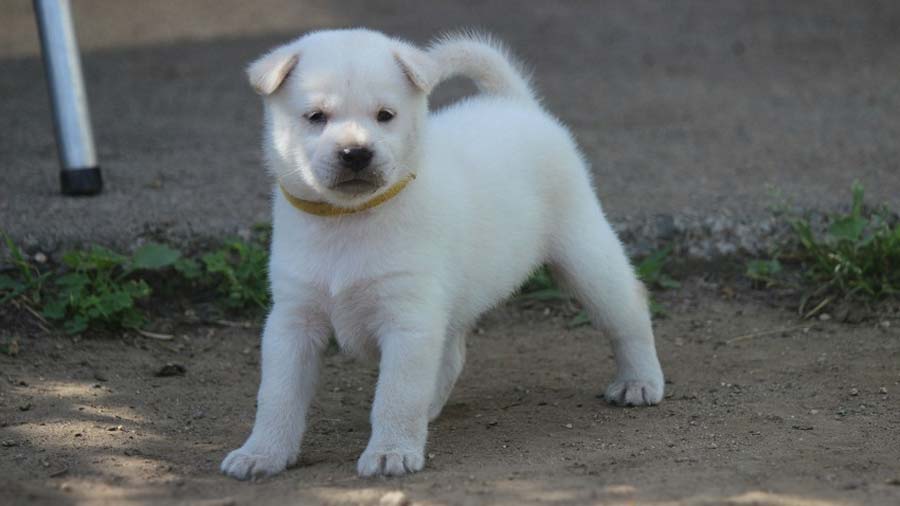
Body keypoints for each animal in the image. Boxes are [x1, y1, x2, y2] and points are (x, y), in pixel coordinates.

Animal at [221, 29, 664, 480]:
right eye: (315, 117)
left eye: (385, 115)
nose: (356, 153)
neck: (350, 220)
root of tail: (516, 104)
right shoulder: (292, 322)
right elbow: (277, 397)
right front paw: (262, 452)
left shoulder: (408, 322)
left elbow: (396, 395)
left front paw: (391, 451)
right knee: (451, 355)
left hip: (586, 255)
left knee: (629, 311)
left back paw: (639, 381)